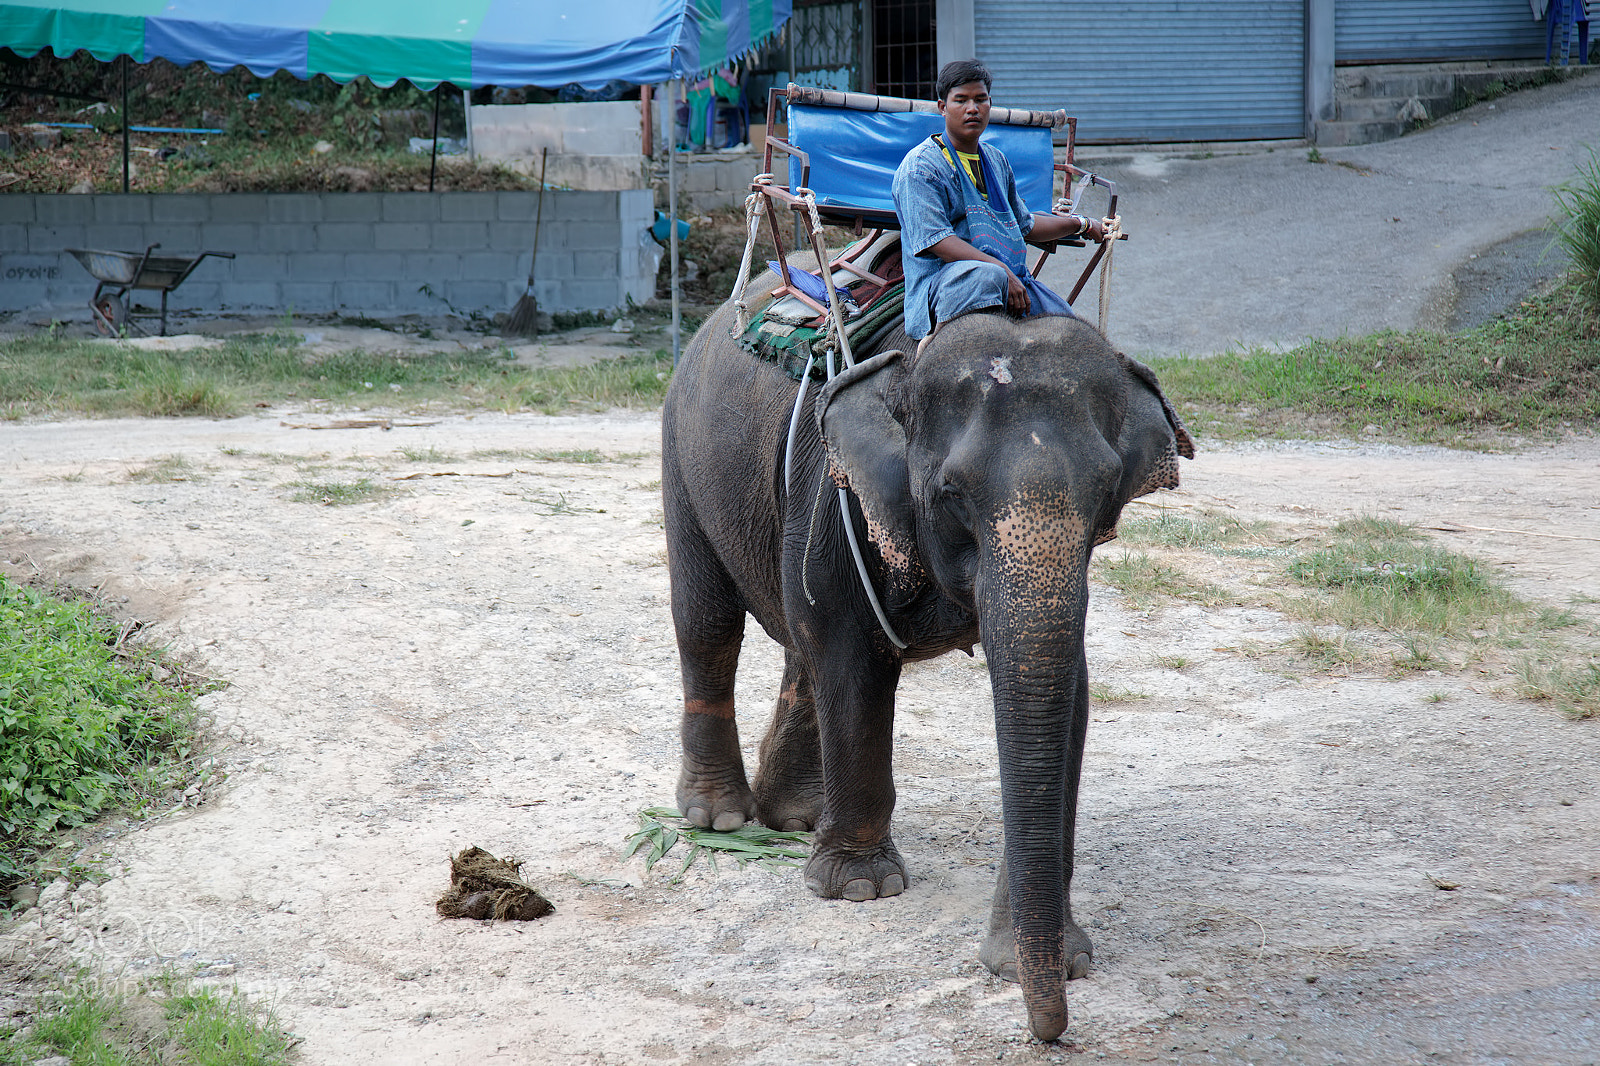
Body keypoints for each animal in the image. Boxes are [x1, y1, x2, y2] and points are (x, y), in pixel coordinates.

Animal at [660, 296, 1194, 1042]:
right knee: (709, 624)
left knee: (797, 648)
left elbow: (1072, 694)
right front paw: (859, 889)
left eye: (1107, 489)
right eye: (950, 491)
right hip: (682, 450)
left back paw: (794, 815)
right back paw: (721, 817)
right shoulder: (832, 495)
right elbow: (848, 655)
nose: (1051, 1031)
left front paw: (1050, 959)